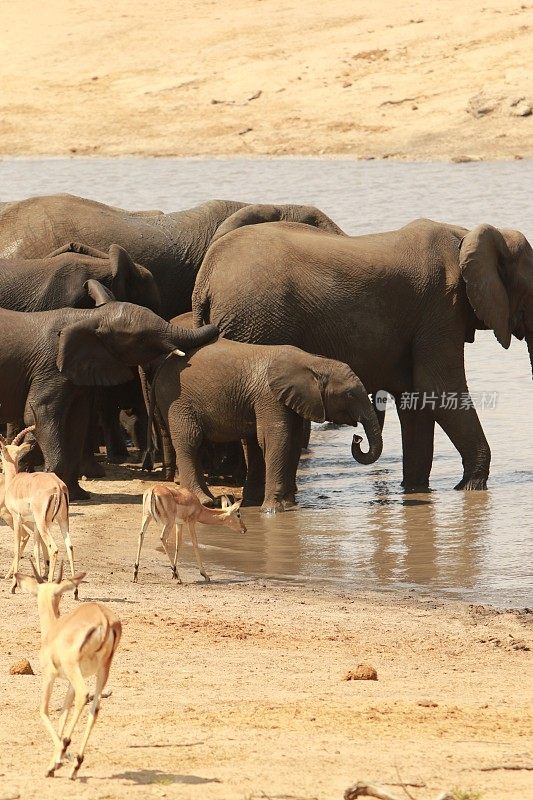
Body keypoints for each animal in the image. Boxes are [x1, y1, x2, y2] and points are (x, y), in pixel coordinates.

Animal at [0, 286, 217, 500]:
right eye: (141, 339)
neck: (90, 316)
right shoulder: (50, 367)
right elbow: (40, 414)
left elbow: (76, 421)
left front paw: (78, 496)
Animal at [150, 326, 382, 510]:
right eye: (349, 394)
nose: (357, 437)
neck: (312, 361)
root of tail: (160, 368)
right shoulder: (269, 397)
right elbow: (276, 438)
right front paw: (273, 510)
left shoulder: (291, 399)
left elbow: (294, 440)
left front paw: (288, 506)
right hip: (177, 401)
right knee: (190, 441)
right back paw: (205, 502)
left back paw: (212, 501)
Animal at [193, 220, 532, 494]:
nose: (355, 439)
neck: (467, 235)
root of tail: (204, 280)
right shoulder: (440, 307)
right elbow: (437, 387)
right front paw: (470, 488)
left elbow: (415, 398)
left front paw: (415, 490)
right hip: (256, 323)